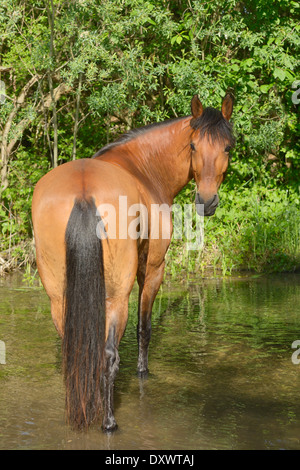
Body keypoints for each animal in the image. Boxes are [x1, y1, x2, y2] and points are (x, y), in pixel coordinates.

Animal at [31, 92, 236, 434]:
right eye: (193, 146)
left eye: (227, 147)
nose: (206, 202)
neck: (144, 168)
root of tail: (83, 191)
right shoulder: (152, 269)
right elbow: (144, 328)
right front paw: (142, 372)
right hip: (117, 295)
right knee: (108, 354)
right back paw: (108, 421)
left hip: (59, 297)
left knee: (75, 351)